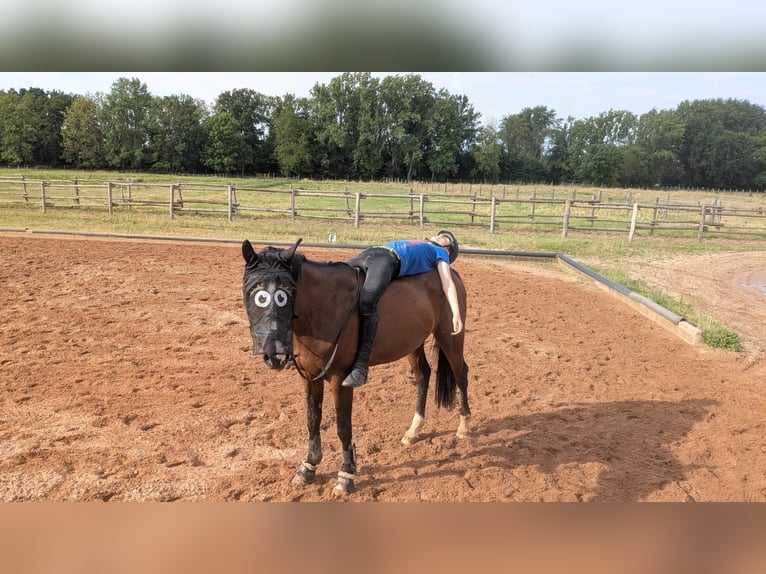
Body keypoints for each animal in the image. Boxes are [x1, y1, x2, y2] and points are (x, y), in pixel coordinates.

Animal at [241, 238, 471, 495]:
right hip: (413, 342)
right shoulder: (310, 376)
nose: (275, 353)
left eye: (286, 294)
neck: (323, 307)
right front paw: (308, 467)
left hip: (450, 337)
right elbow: (312, 419)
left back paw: (464, 427)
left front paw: (345, 475)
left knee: (461, 374)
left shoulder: (340, 379)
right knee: (423, 374)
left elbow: (343, 427)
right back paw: (414, 430)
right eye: (253, 293)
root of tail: (452, 274)